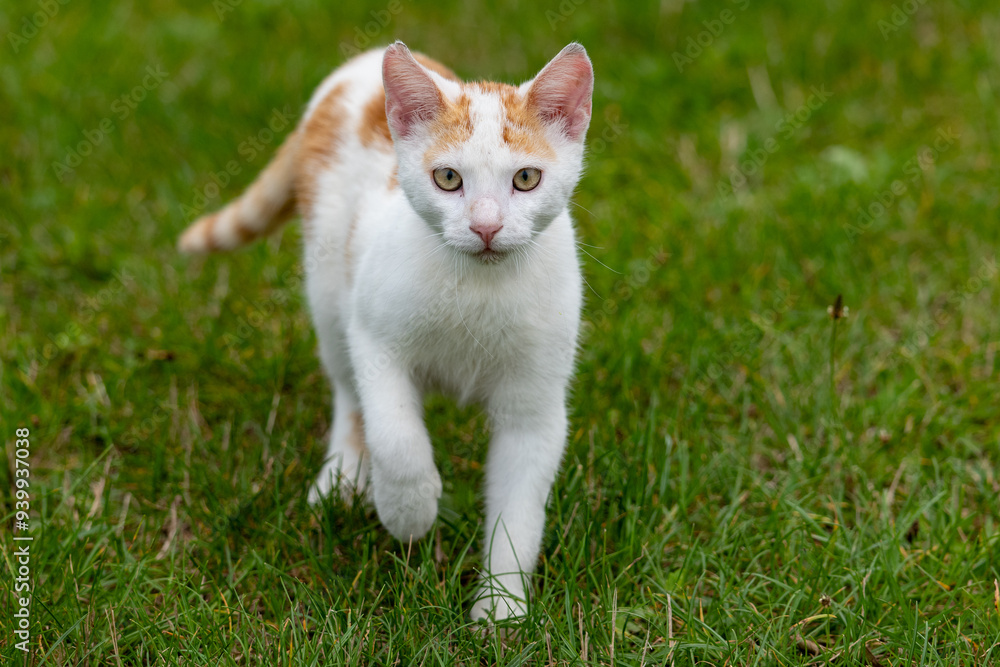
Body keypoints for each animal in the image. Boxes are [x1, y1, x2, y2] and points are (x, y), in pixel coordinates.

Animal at [178, 43, 592, 628]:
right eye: (448, 179)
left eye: (526, 179)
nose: (486, 227)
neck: (478, 290)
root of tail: (362, 63)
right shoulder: (373, 339)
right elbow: (397, 438)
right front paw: (409, 512)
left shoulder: (536, 404)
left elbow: (519, 508)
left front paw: (501, 610)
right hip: (329, 286)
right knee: (349, 394)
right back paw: (342, 481)